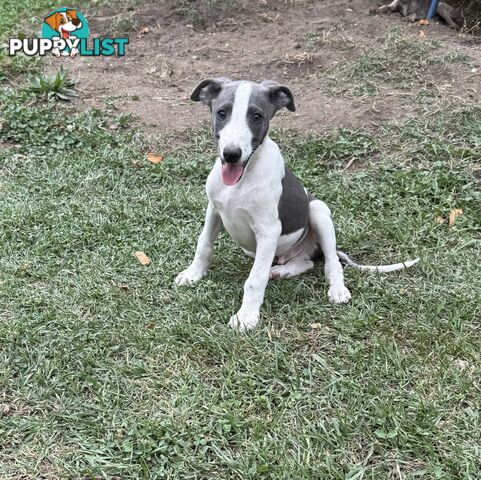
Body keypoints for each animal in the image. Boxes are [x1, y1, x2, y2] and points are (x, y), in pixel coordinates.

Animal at [174, 79, 418, 334]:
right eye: (222, 113)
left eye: (257, 117)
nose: (231, 154)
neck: (242, 179)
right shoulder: (214, 210)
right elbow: (203, 244)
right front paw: (193, 274)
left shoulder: (268, 231)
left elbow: (255, 278)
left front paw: (246, 317)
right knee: (306, 262)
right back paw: (280, 271)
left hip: (318, 210)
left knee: (330, 261)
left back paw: (336, 289)